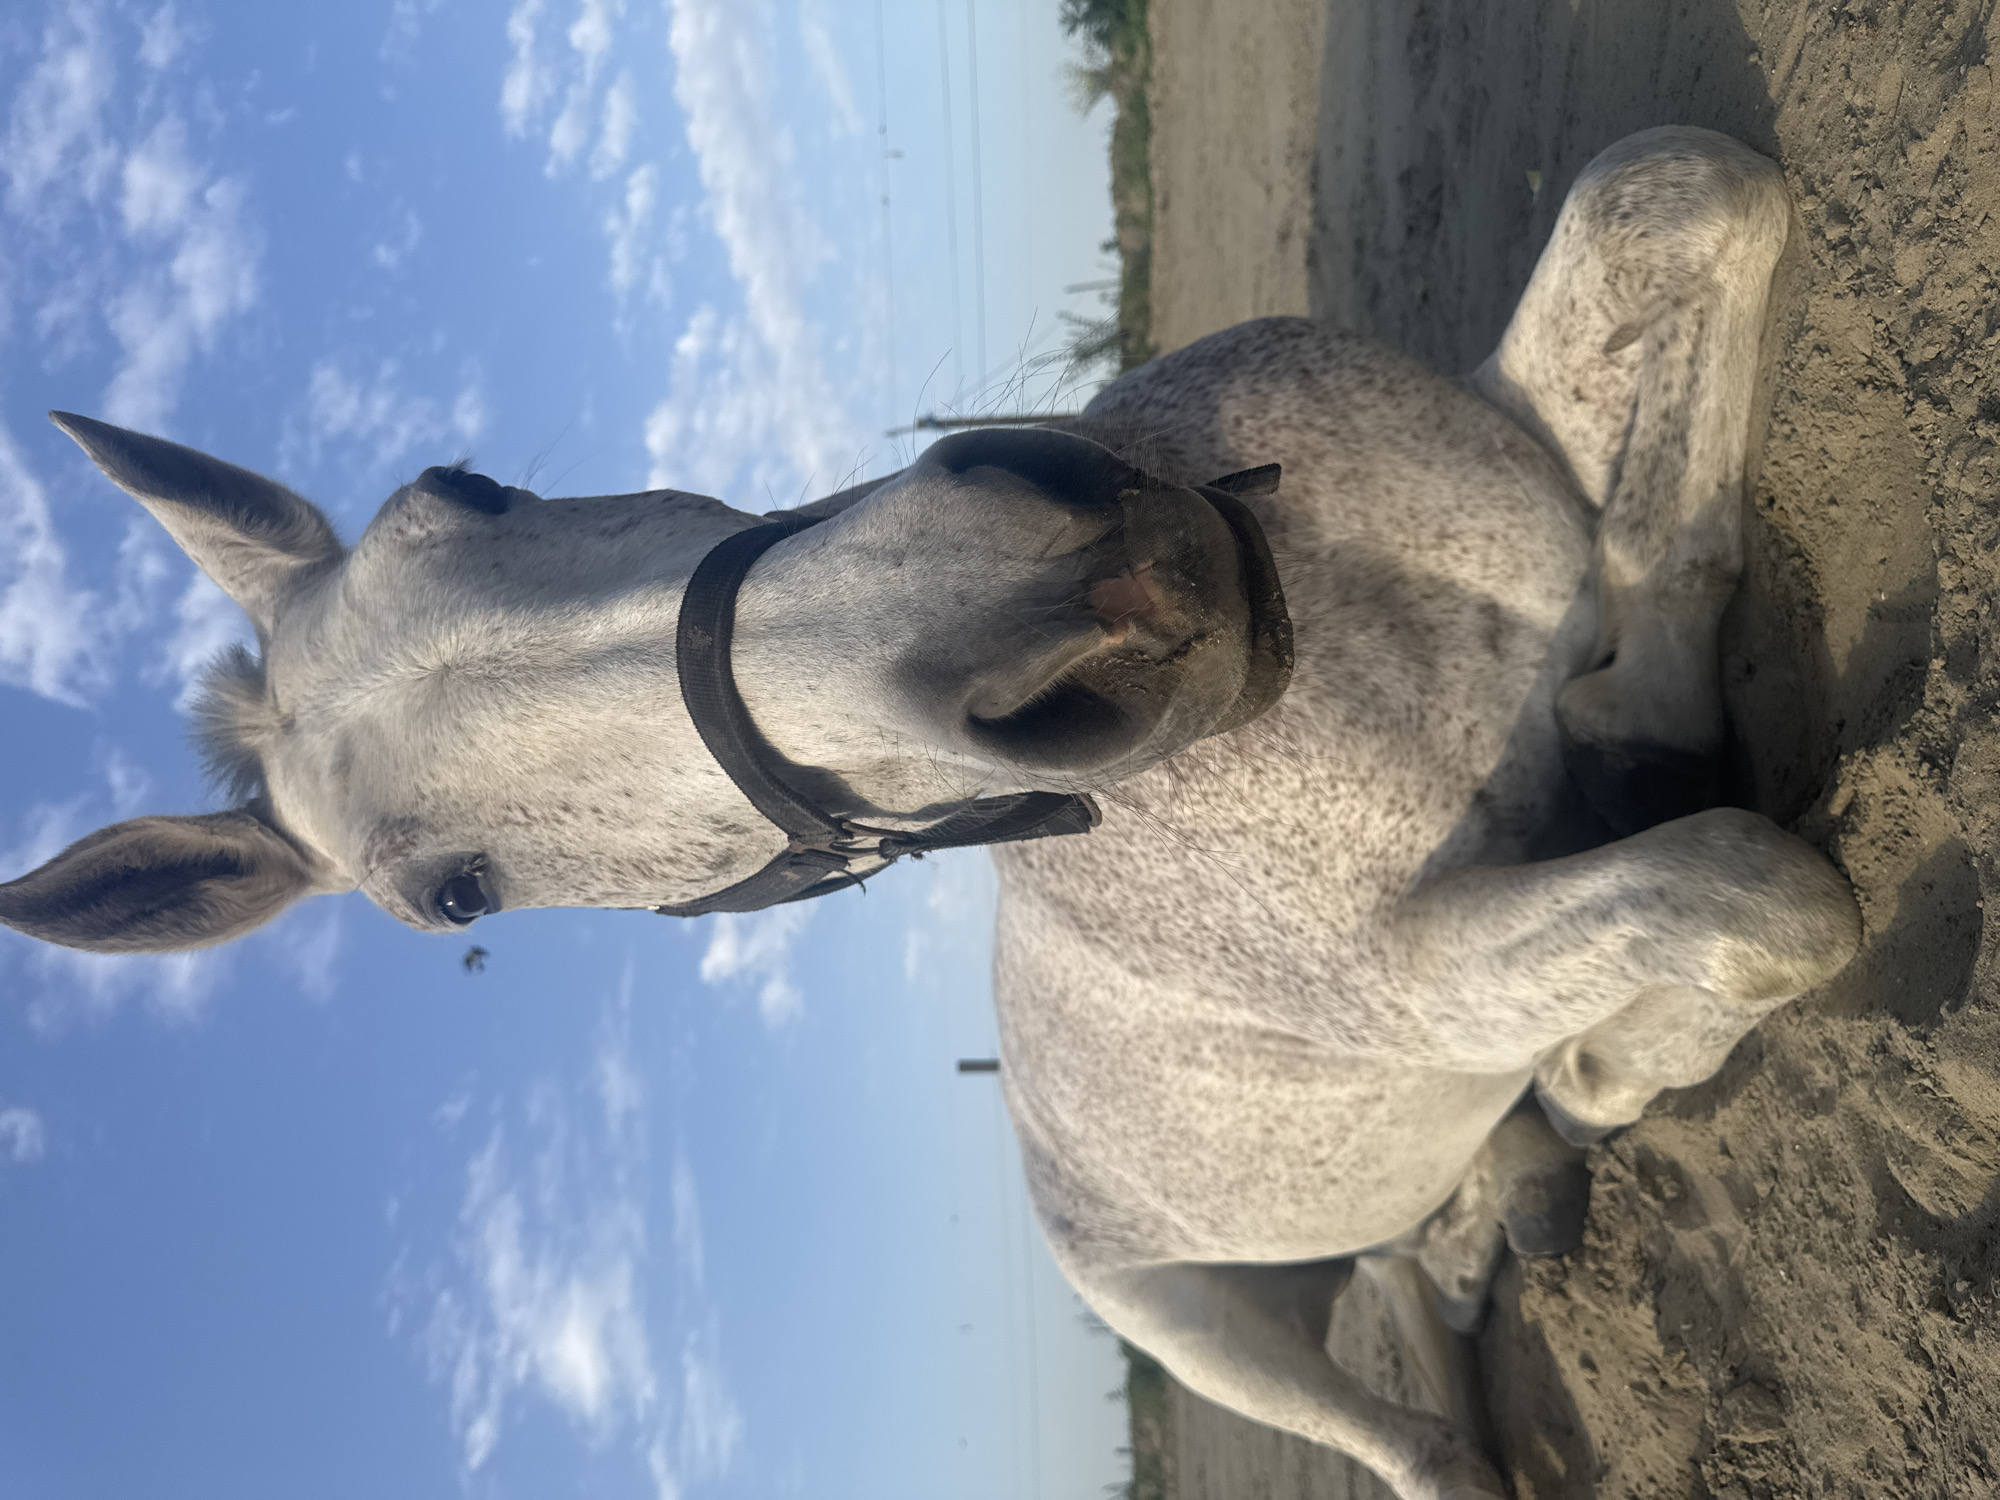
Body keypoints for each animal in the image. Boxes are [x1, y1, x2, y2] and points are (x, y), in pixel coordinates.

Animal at [0, 128, 1860, 1498]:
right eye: (458, 900)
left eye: (464, 486)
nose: (1065, 590)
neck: (1337, 648)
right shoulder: (1422, 979)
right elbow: (1763, 900)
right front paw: (1625, 1048)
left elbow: (1683, 195)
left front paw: (1639, 700)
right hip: (1193, 1328)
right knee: (1427, 1444)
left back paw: (1511, 1193)